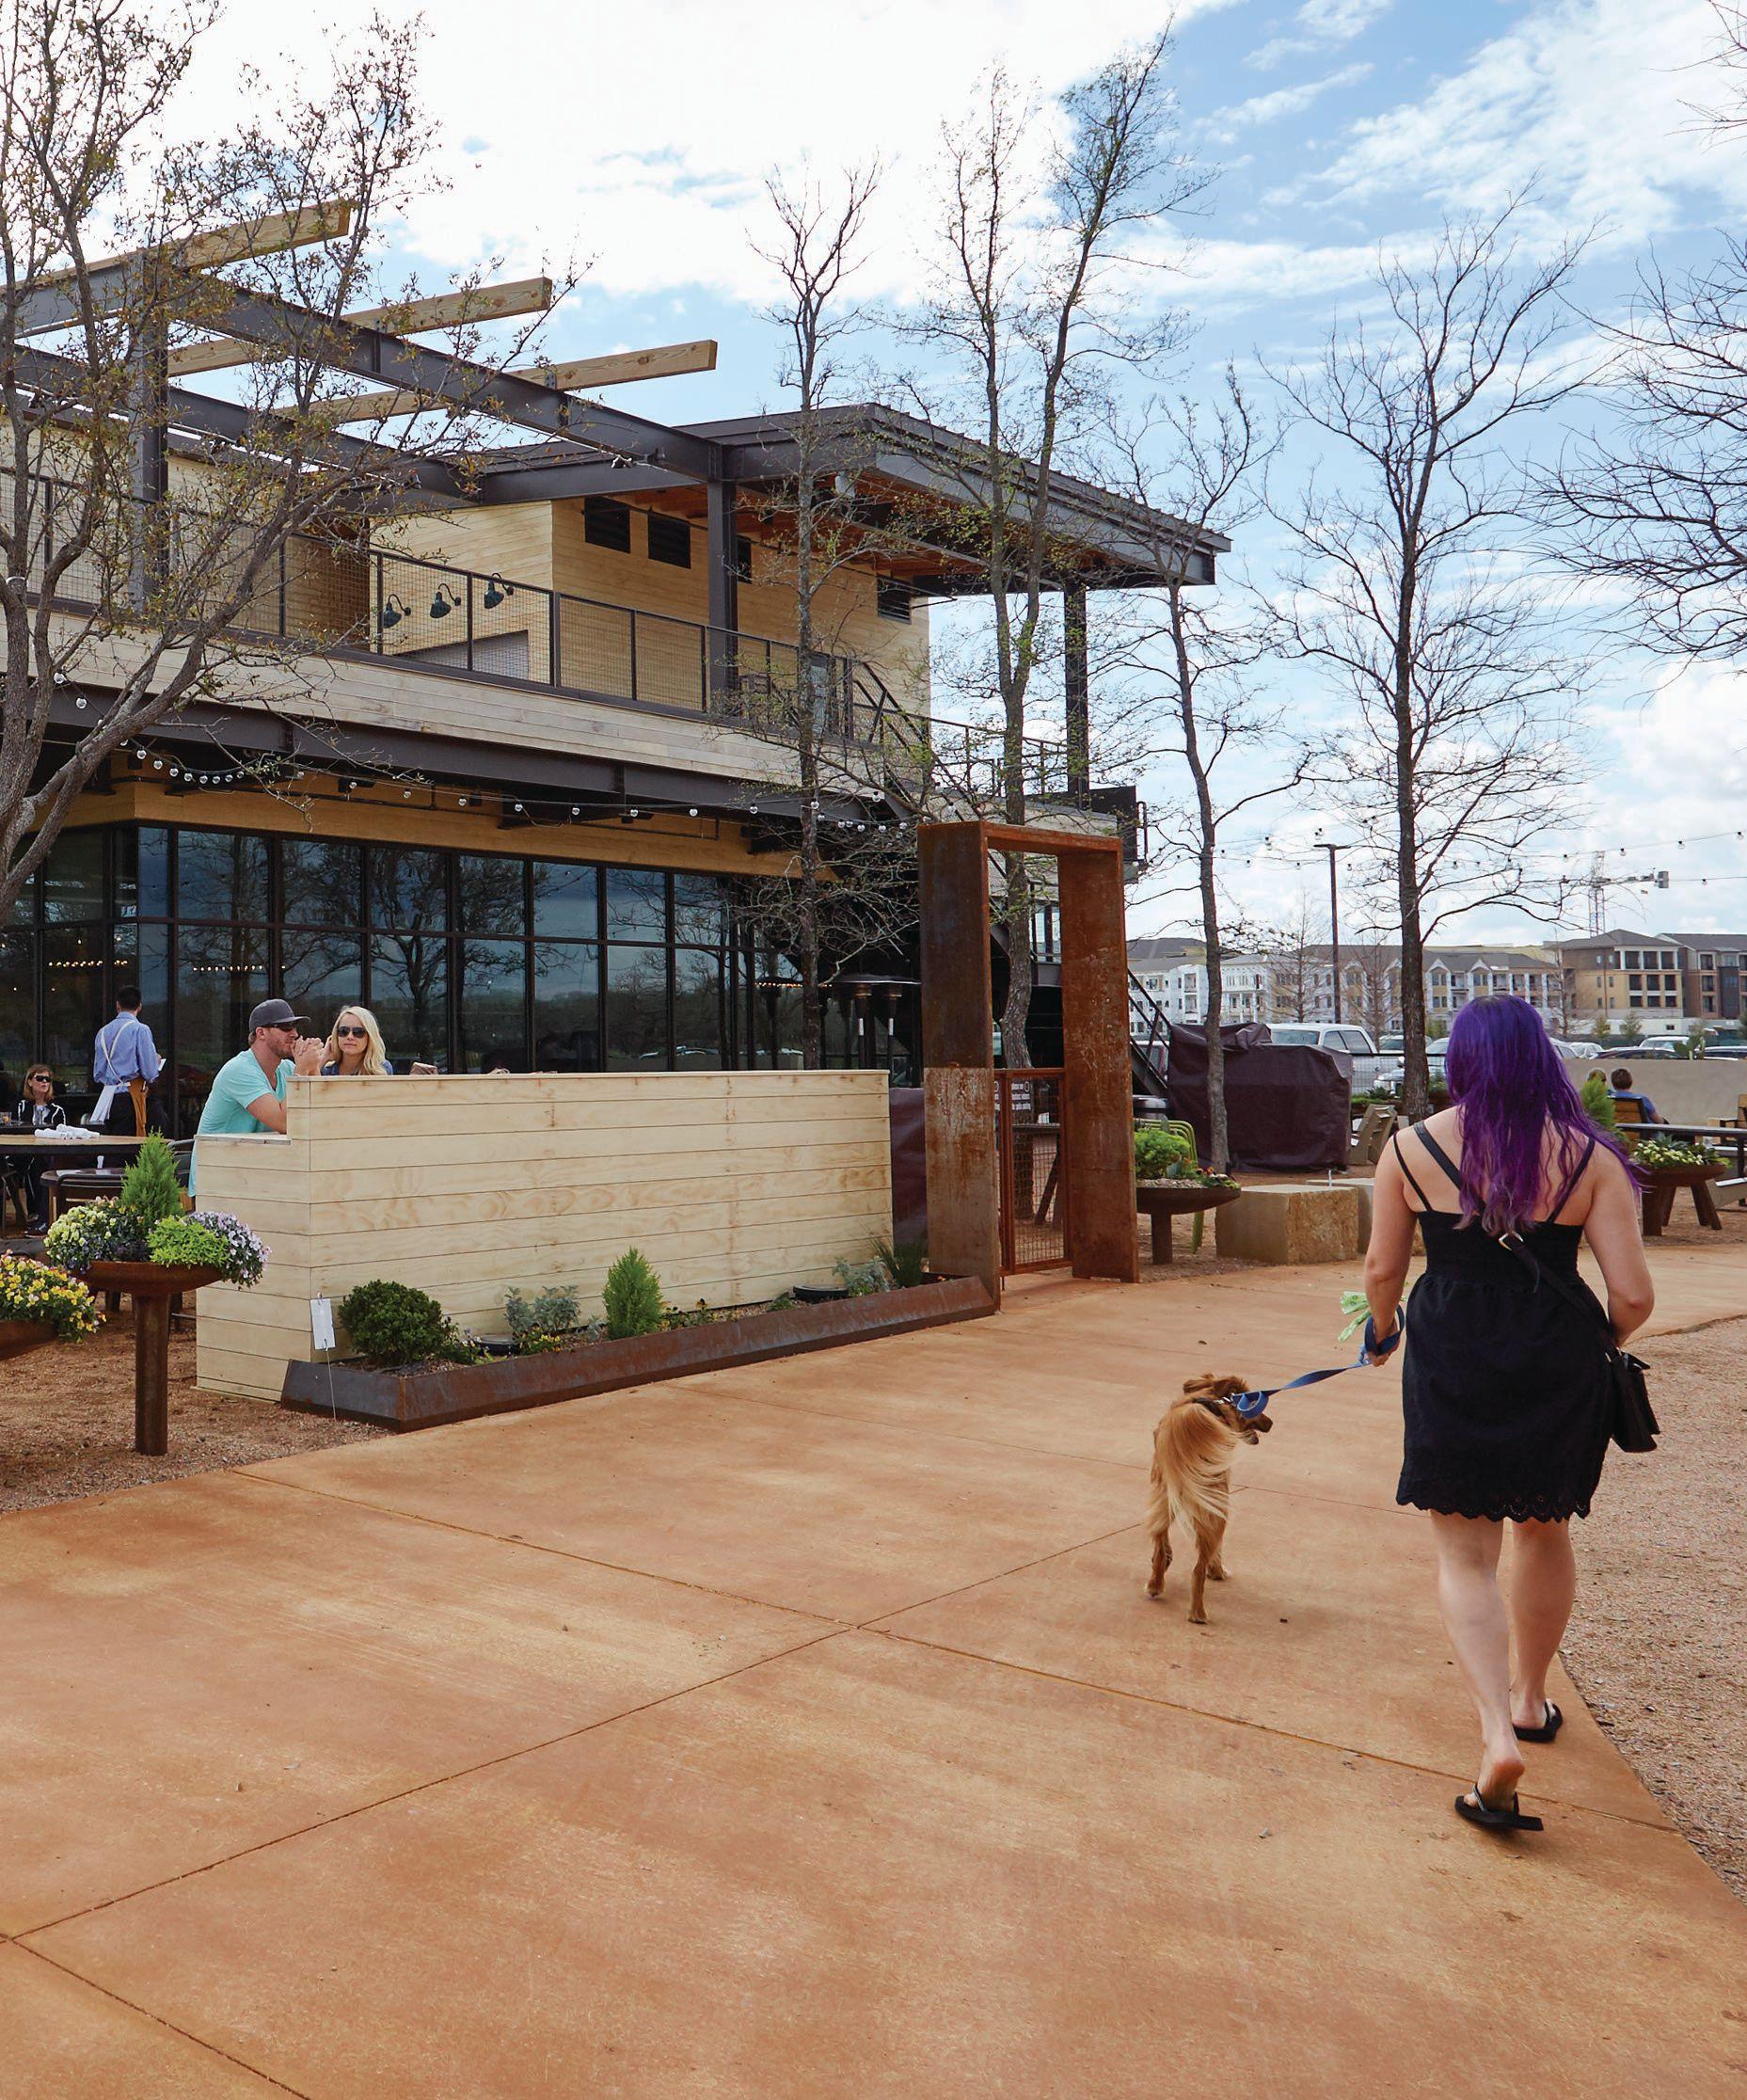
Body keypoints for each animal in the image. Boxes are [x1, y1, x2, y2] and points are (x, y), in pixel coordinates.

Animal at [1146, 1374, 1272, 1623]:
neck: (1216, 1402)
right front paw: (1217, 1570)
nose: (1271, 1423)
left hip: (1165, 1495)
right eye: (1255, 1403)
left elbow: (1162, 1542)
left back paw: (1155, 1584)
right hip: (1216, 1506)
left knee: (1160, 1536)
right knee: (1198, 1568)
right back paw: (1198, 1612)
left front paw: (1164, 1561)